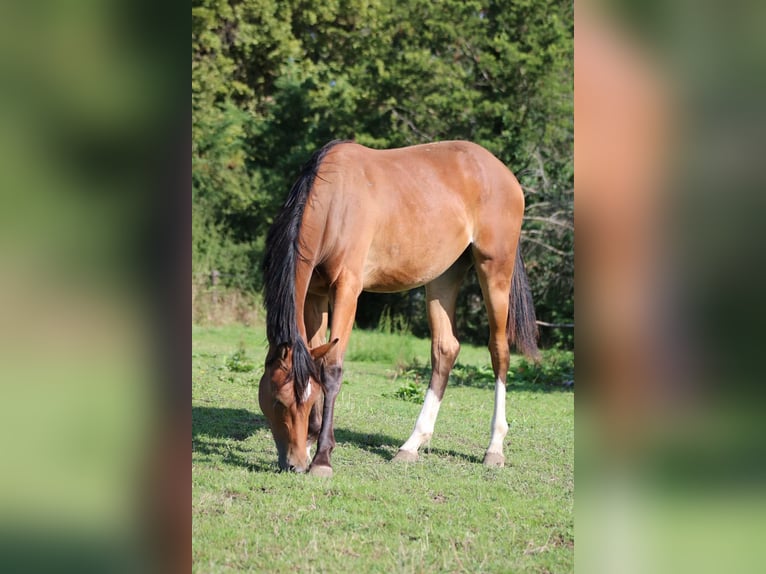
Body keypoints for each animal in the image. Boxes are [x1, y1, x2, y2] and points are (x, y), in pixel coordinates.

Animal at [258, 140, 539, 476]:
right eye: (277, 400)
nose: (296, 463)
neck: (334, 203)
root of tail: (505, 175)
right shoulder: (315, 294)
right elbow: (317, 357)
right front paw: (314, 440)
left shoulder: (347, 289)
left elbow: (332, 369)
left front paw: (323, 458)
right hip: (443, 276)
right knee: (445, 349)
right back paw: (411, 444)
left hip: (495, 270)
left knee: (499, 351)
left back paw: (494, 448)